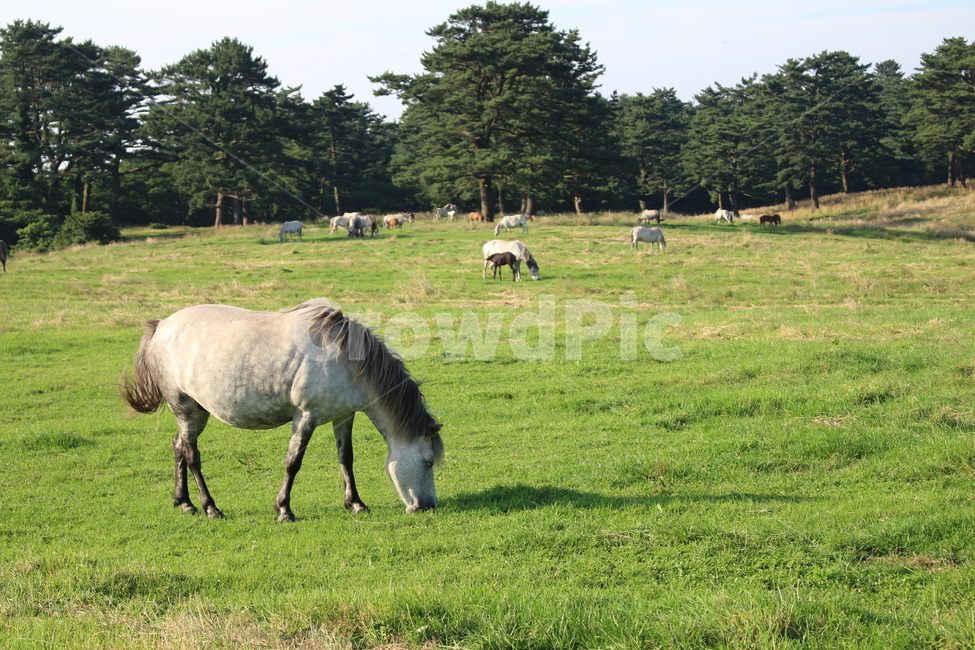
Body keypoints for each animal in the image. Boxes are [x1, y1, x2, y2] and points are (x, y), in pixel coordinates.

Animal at [119, 301, 444, 521]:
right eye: (428, 462)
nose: (427, 506)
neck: (343, 359)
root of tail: (161, 326)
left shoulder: (343, 416)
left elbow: (346, 459)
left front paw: (356, 503)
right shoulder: (306, 417)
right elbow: (293, 462)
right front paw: (284, 509)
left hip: (197, 411)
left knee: (178, 446)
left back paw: (184, 503)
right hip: (185, 407)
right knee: (191, 456)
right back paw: (210, 507)